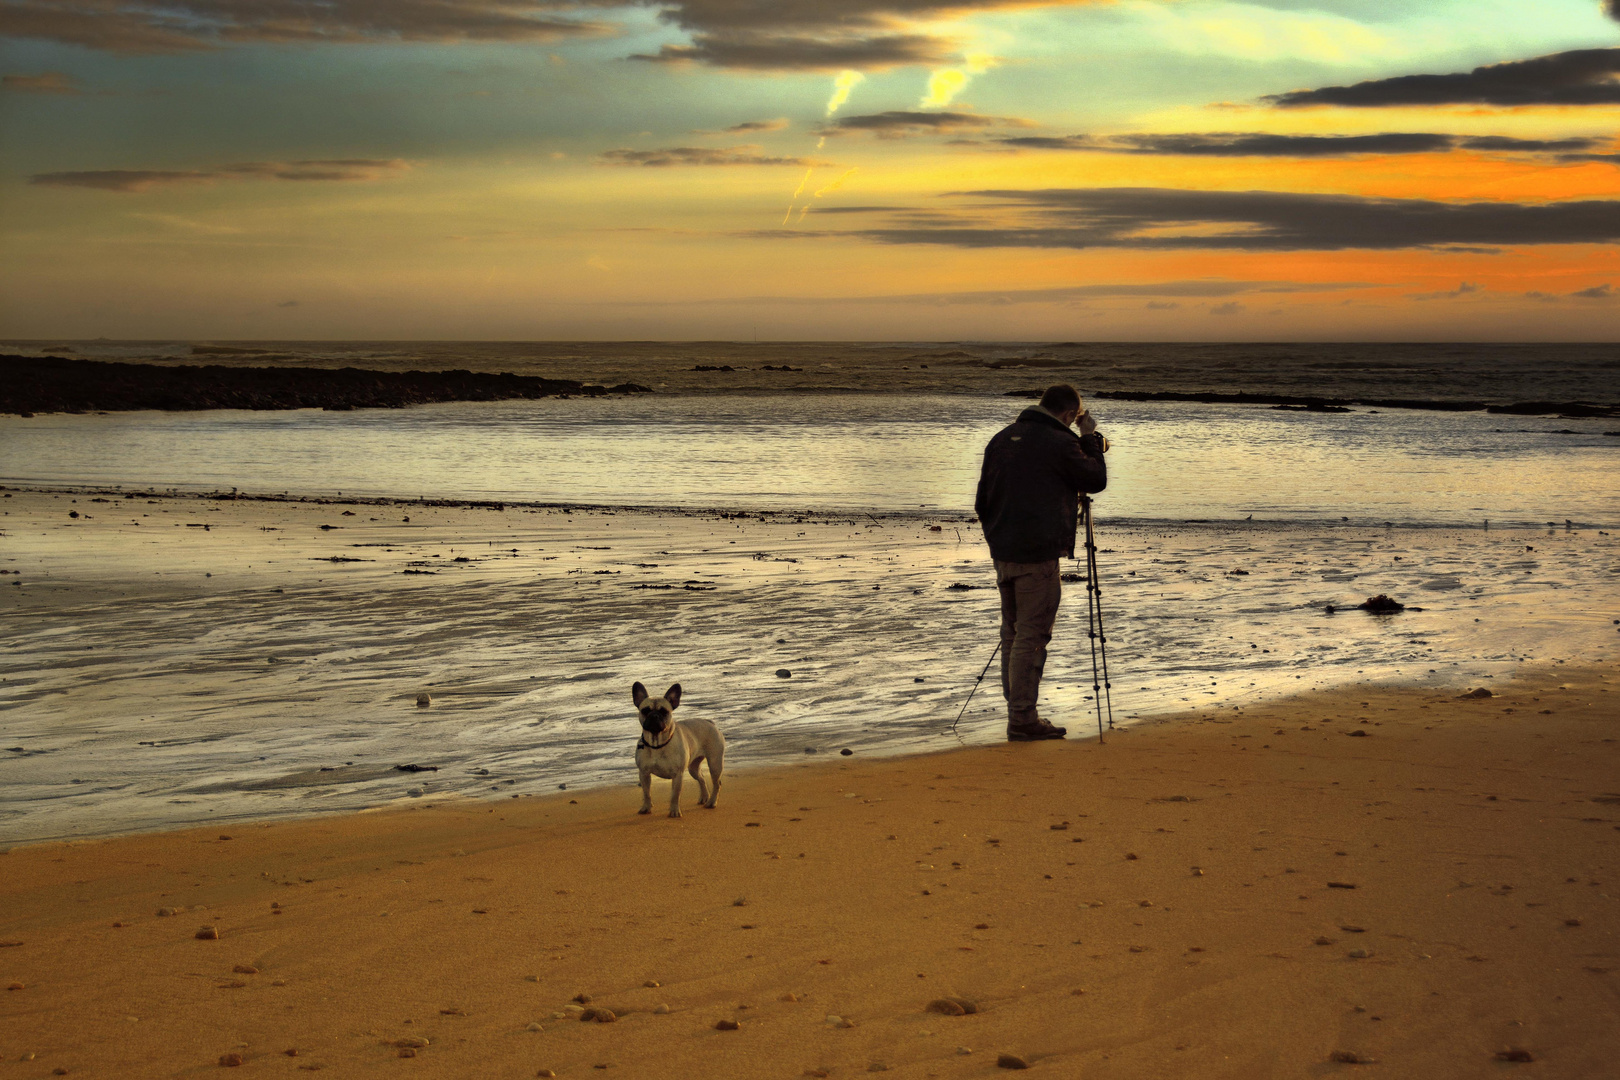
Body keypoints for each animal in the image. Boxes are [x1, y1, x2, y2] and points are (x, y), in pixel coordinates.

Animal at [635, 683, 725, 819]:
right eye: (645, 710)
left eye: (664, 711)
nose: (654, 715)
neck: (657, 744)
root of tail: (710, 723)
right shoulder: (644, 773)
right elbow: (646, 793)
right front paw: (646, 807)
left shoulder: (677, 775)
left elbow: (675, 795)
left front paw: (674, 811)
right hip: (693, 768)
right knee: (702, 778)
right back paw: (704, 797)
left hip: (715, 764)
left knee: (717, 783)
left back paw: (712, 802)